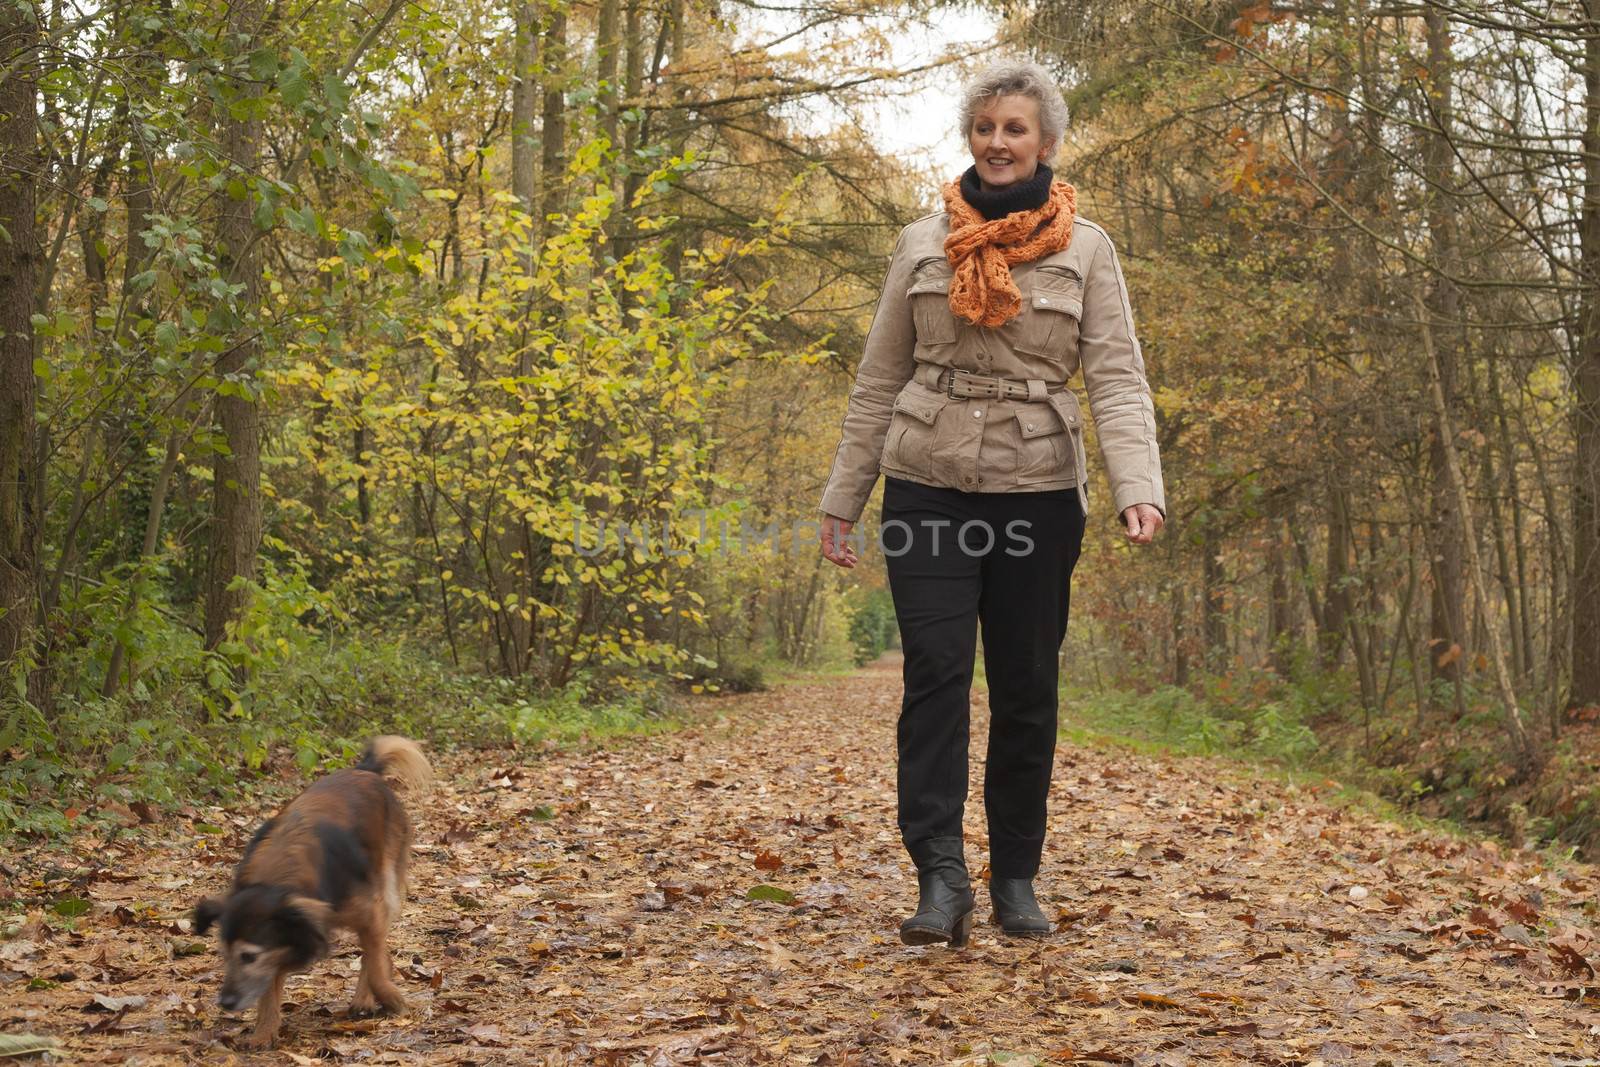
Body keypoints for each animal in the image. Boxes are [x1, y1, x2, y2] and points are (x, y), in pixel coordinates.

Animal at [193, 735, 432, 1049]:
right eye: (225, 954)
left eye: (248, 956)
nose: (225, 1002)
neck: (277, 880)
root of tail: (364, 771)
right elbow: (269, 985)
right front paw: (264, 1031)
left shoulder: (368, 911)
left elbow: (375, 963)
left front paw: (391, 998)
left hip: (387, 880)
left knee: (376, 950)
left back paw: (365, 997)